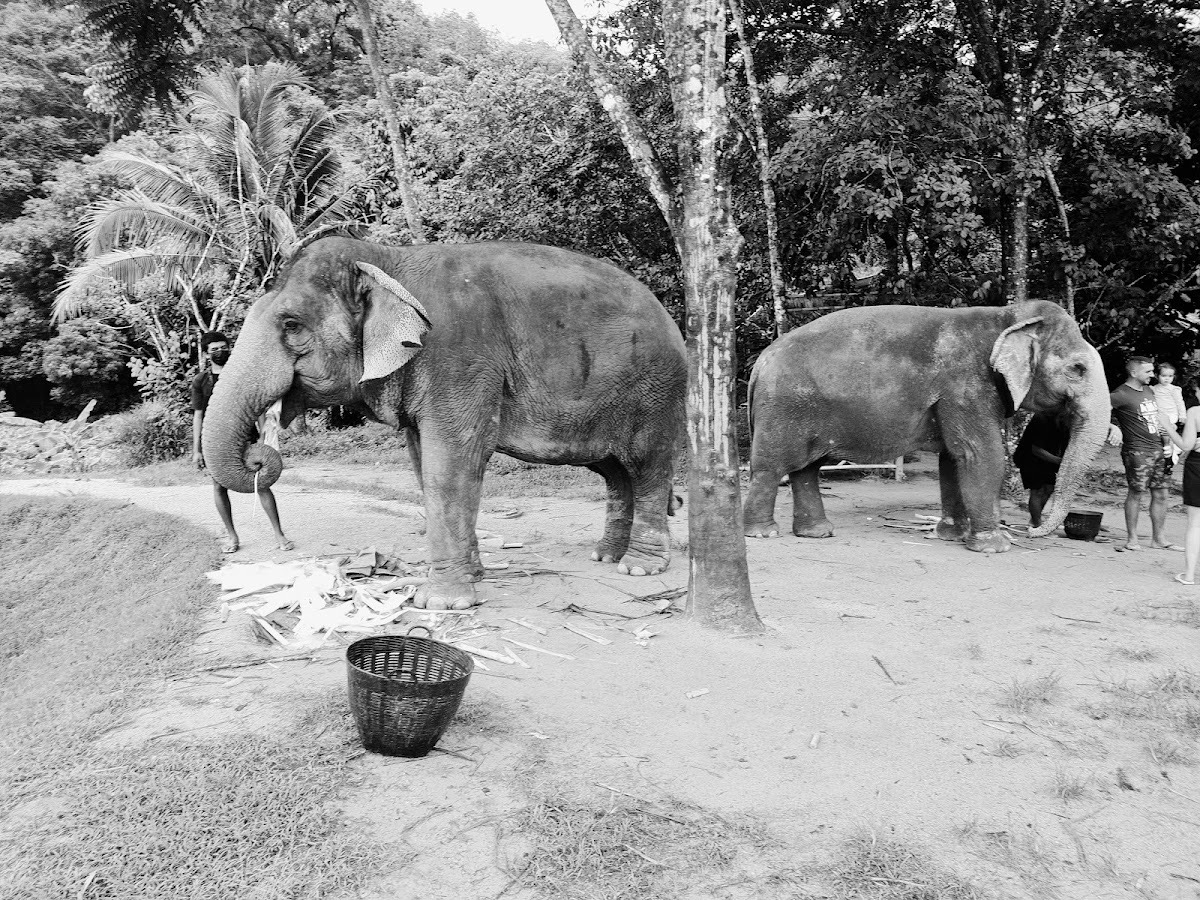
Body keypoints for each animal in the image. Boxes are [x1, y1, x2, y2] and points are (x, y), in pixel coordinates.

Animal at [201, 237, 686, 608]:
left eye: (291, 325)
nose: (260, 453)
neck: (388, 261)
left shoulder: (459, 360)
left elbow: (449, 464)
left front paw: (441, 602)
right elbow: (423, 464)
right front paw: (474, 577)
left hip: (655, 392)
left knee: (646, 465)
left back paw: (639, 566)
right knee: (614, 472)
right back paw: (605, 556)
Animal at [743, 300, 1110, 553]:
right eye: (1077, 368)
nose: (1030, 530)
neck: (1007, 316)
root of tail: (760, 363)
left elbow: (953, 459)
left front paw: (950, 536)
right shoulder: (965, 387)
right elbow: (981, 455)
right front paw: (994, 547)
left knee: (807, 468)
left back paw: (817, 532)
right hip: (784, 409)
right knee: (771, 468)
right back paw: (763, 533)